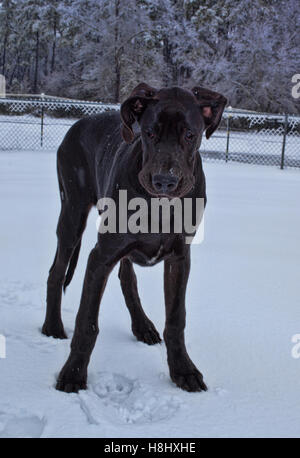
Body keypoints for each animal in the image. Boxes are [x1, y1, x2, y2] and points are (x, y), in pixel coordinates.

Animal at [41, 84, 226, 392]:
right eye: (149, 133)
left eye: (190, 135)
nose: (165, 181)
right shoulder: (100, 256)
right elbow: (87, 322)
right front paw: (73, 374)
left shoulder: (179, 258)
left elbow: (176, 319)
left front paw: (183, 370)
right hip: (72, 212)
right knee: (56, 271)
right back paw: (53, 326)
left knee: (126, 276)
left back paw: (142, 325)